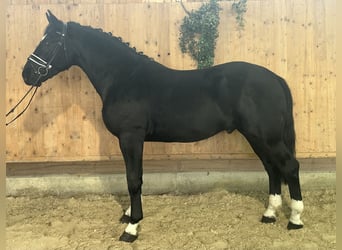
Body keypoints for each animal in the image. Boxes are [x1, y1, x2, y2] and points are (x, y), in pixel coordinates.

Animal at [22, 10, 304, 242]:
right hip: (257, 136)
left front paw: (132, 227)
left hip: (266, 137)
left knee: (289, 166)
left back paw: (295, 219)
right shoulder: (132, 140)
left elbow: (133, 179)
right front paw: (129, 214)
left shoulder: (130, 137)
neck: (123, 77)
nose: (27, 74)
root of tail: (275, 78)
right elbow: (135, 177)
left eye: (48, 42)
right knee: (272, 168)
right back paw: (269, 213)